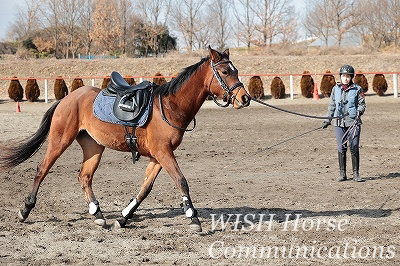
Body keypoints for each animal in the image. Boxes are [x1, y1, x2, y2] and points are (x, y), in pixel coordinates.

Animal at [0, 46, 250, 232]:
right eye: (226, 72)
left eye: (236, 70)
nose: (245, 98)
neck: (170, 106)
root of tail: (68, 98)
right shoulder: (163, 153)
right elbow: (181, 181)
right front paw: (193, 217)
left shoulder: (158, 156)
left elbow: (145, 188)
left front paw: (124, 217)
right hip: (60, 140)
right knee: (42, 169)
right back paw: (25, 210)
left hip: (94, 147)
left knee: (85, 177)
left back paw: (98, 214)